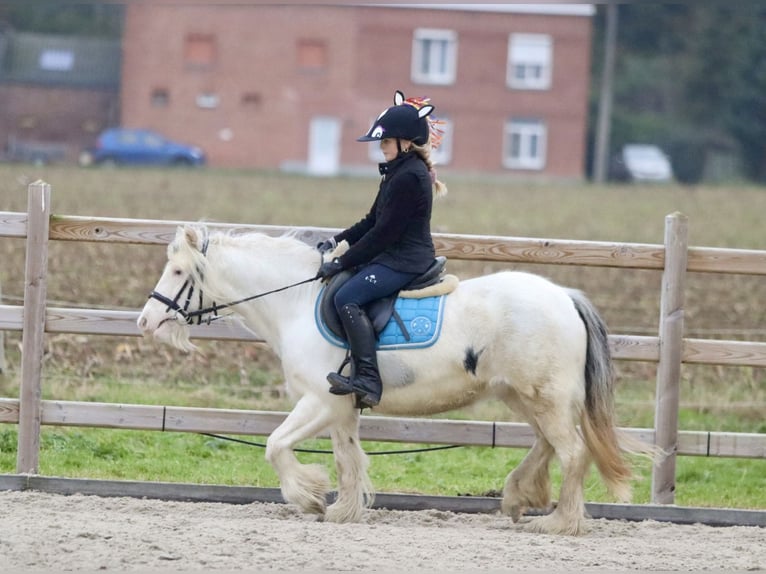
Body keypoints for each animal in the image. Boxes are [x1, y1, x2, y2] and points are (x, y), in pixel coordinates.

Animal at [136, 224, 656, 536]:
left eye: (178, 270)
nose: (145, 321)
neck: (296, 303)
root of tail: (565, 297)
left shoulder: (319, 401)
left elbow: (276, 446)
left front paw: (308, 497)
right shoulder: (341, 407)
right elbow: (346, 458)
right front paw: (342, 510)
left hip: (544, 397)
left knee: (573, 452)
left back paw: (559, 523)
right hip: (524, 396)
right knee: (548, 445)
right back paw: (517, 497)